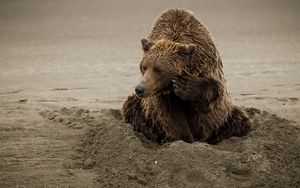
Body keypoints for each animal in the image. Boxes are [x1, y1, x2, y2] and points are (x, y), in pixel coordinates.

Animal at [122, 8, 251, 144]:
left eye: (159, 69)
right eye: (144, 67)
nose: (140, 88)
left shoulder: (207, 64)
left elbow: (212, 93)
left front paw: (185, 85)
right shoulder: (162, 95)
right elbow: (170, 116)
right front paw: (185, 138)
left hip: (225, 116)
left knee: (239, 121)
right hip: (142, 108)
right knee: (131, 107)